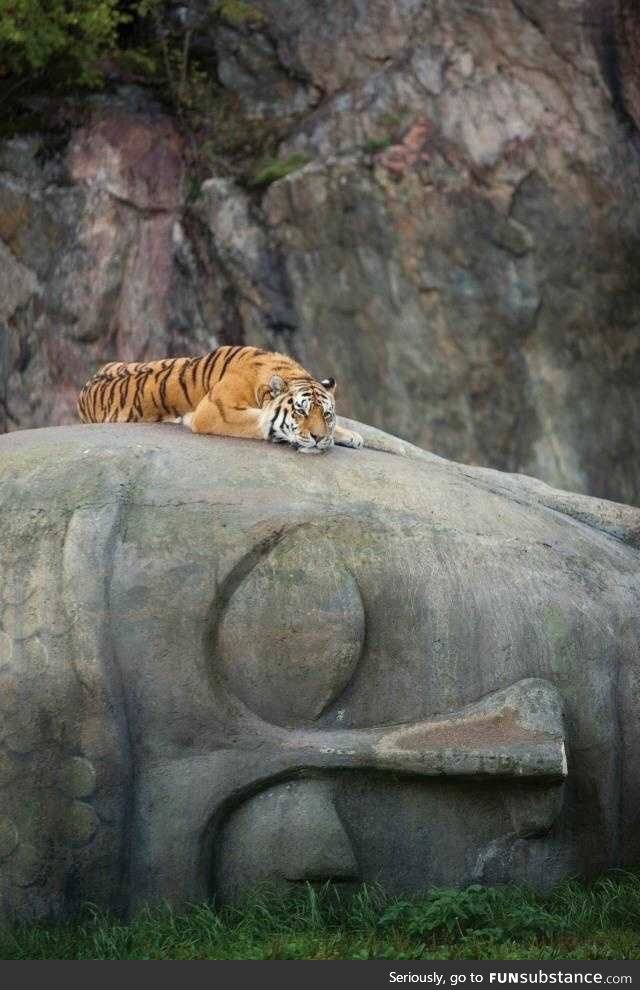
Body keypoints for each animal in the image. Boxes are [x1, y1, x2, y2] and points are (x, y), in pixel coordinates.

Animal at [75, 346, 362, 456]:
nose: (317, 438)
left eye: (326, 414)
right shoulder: (215, 410)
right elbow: (262, 421)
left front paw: (350, 436)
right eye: (301, 412)